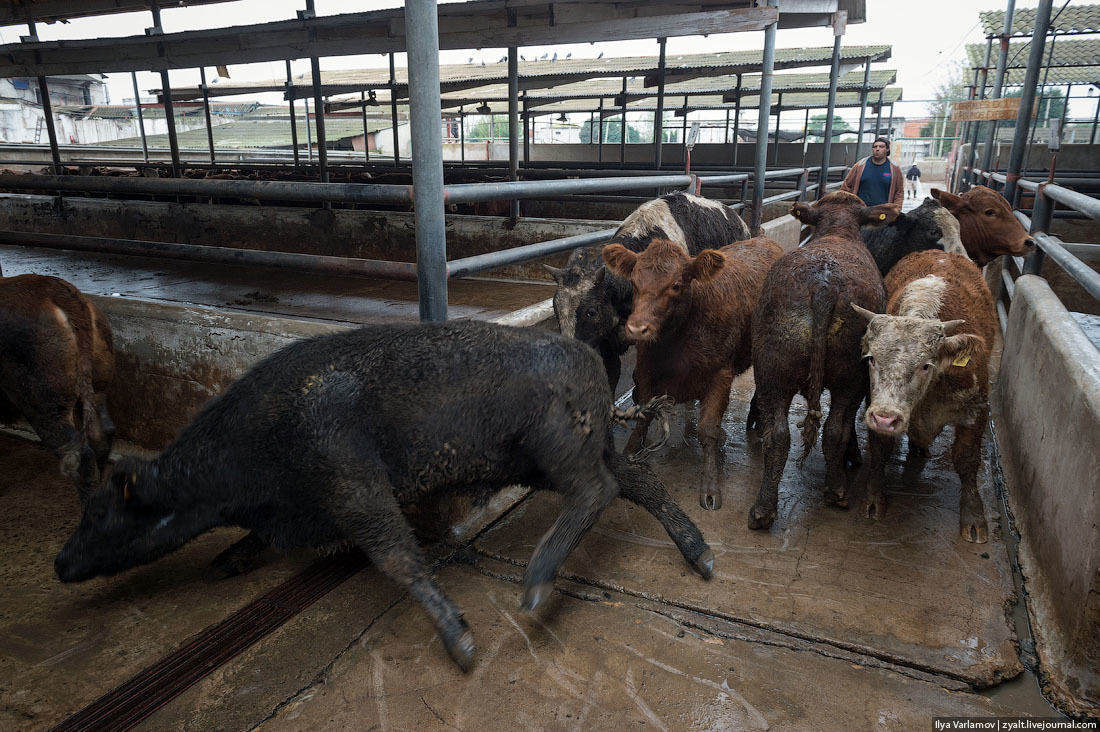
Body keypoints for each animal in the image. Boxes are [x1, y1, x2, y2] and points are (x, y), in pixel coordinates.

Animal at [602, 234, 783, 508]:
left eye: (676, 285)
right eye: (634, 282)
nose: (637, 328)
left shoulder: (721, 375)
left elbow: (708, 429)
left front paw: (710, 486)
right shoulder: (645, 370)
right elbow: (643, 415)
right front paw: (630, 453)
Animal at [743, 191, 897, 528]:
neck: (838, 230)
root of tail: (824, 284)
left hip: (772, 370)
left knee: (778, 436)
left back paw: (763, 509)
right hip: (852, 376)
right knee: (836, 429)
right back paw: (836, 490)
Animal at [849, 250, 998, 541]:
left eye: (925, 365)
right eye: (871, 358)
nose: (885, 419)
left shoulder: (976, 409)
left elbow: (967, 459)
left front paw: (974, 516)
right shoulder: (876, 404)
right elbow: (880, 448)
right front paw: (873, 499)